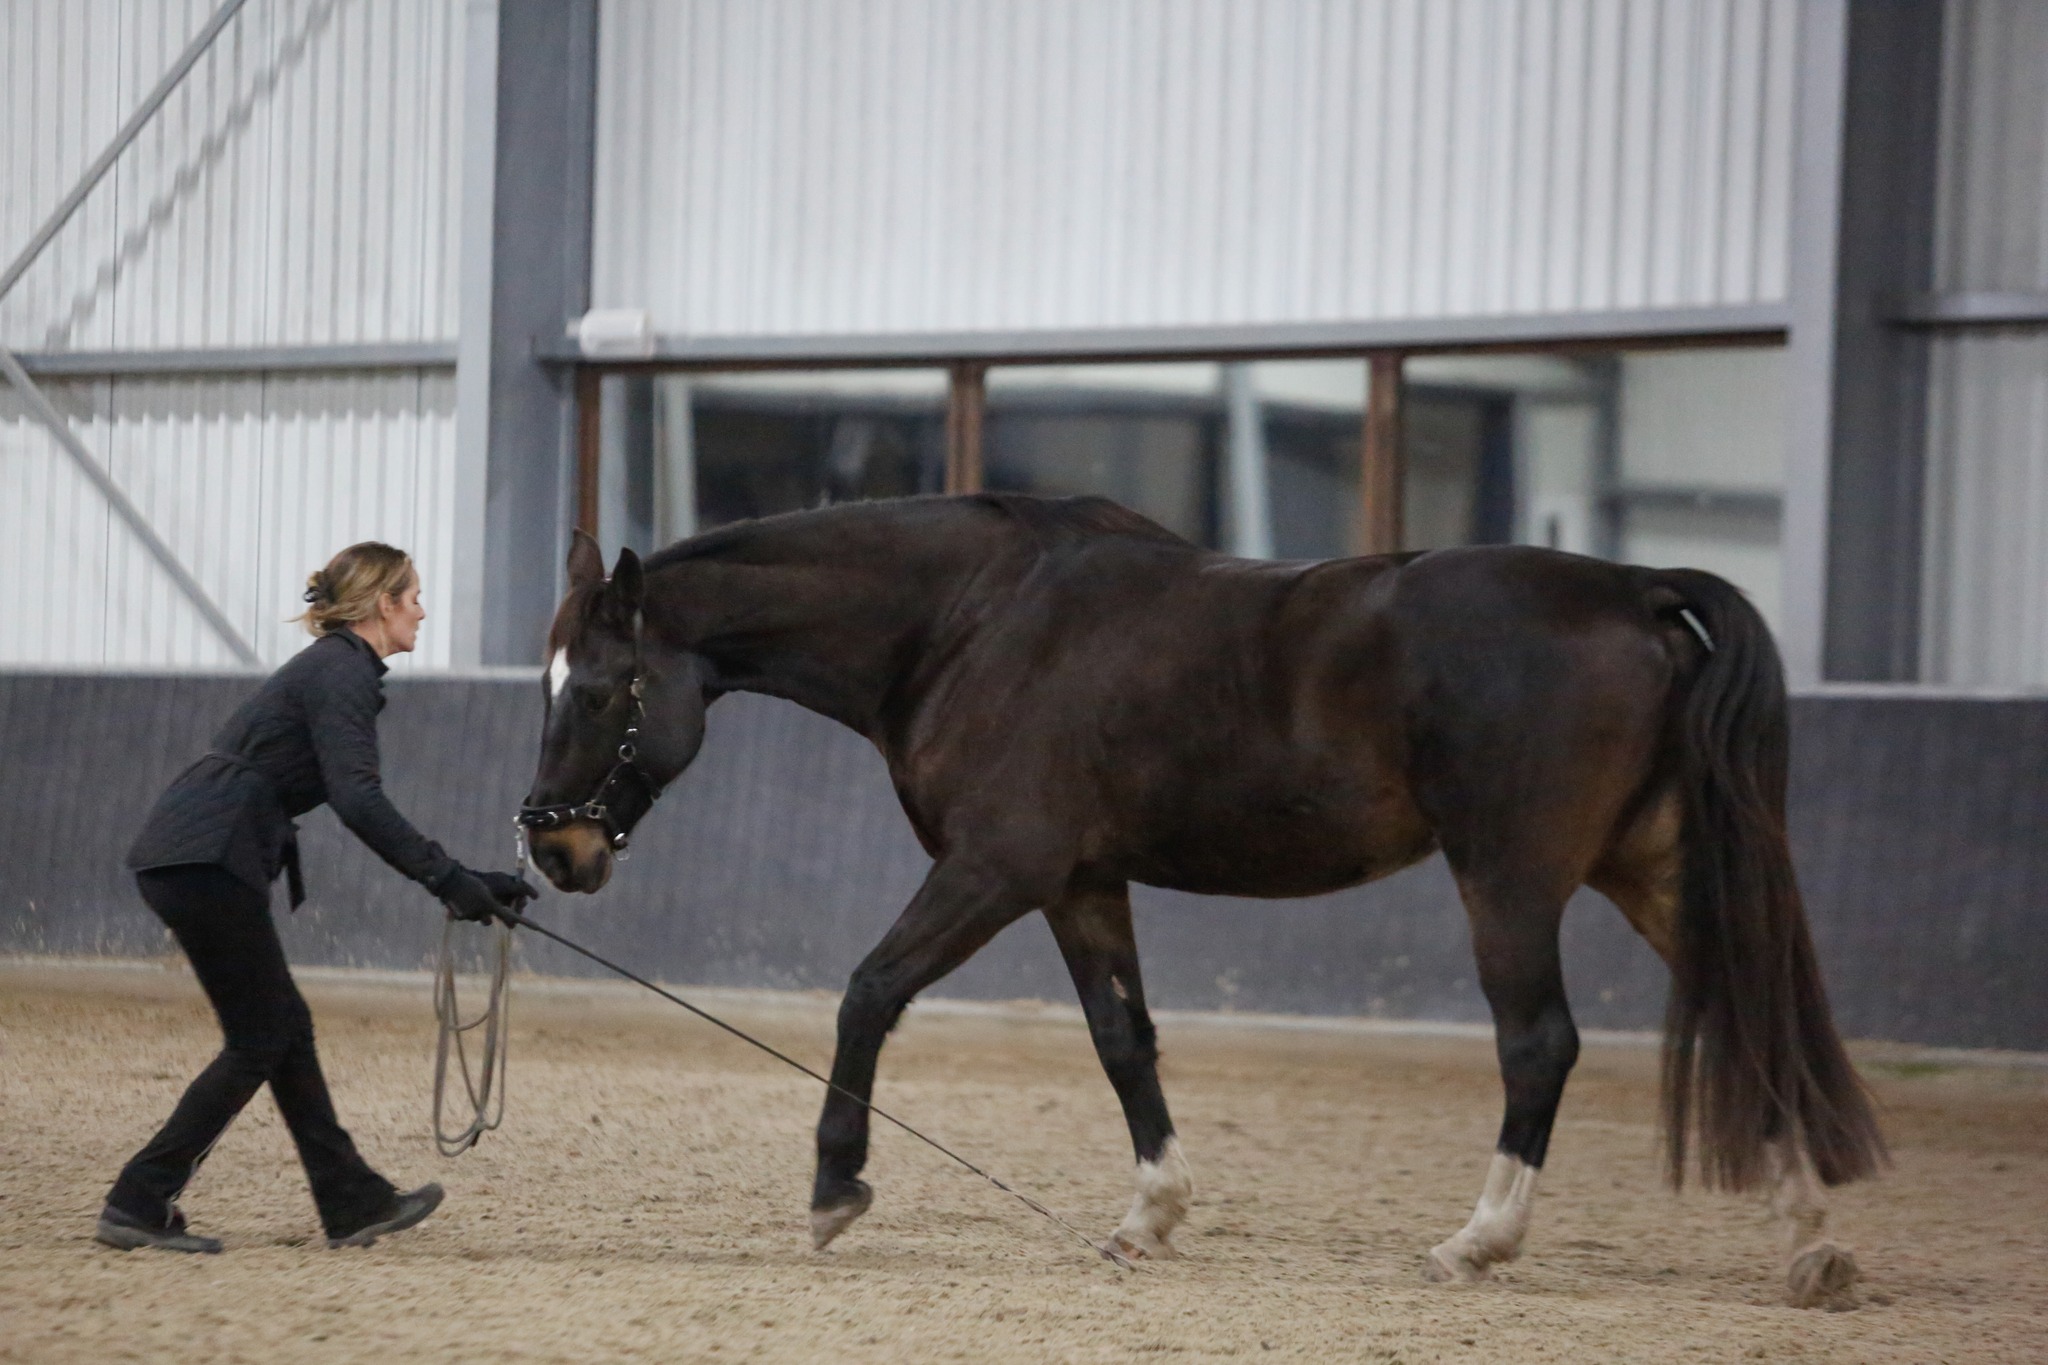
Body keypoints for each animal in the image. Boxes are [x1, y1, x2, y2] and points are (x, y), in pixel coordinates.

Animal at [520, 497, 1875, 1309]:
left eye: (591, 691)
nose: (555, 852)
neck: (969, 624)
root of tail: (1633, 585)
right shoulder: (1079, 883)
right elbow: (1123, 1040)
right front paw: (1150, 1214)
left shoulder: (996, 868)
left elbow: (868, 994)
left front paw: (834, 1192)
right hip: (1654, 871)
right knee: (1750, 1018)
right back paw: (1809, 1242)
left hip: (1509, 878)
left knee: (1538, 1044)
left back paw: (1478, 1239)